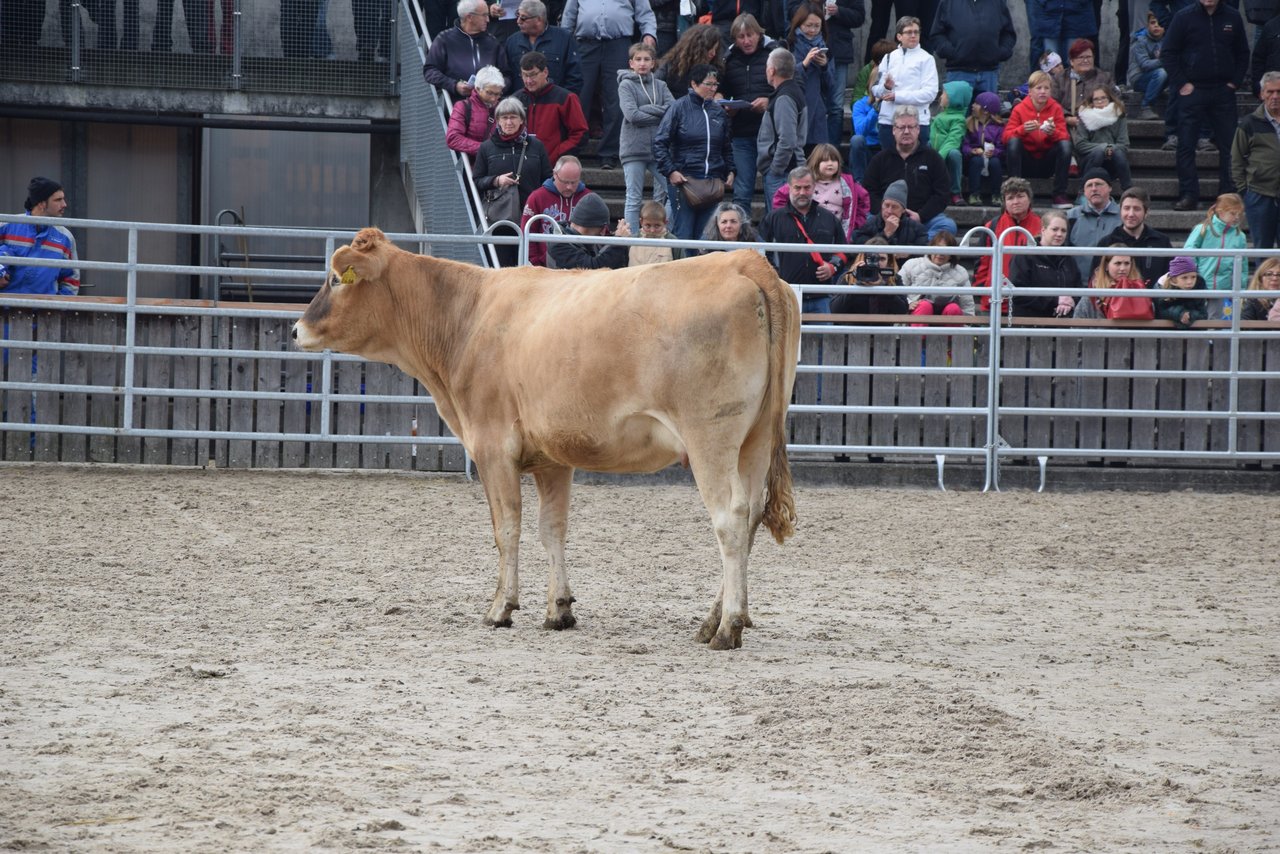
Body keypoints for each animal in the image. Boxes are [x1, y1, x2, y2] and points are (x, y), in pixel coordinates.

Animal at [293, 226, 798, 647]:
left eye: (336, 280)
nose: (297, 329)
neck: (467, 317)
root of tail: (743, 261)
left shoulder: (492, 444)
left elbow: (507, 527)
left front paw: (501, 607)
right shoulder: (553, 456)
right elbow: (552, 528)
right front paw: (559, 610)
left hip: (709, 436)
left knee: (730, 518)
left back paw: (728, 627)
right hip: (754, 440)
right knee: (752, 515)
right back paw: (714, 619)